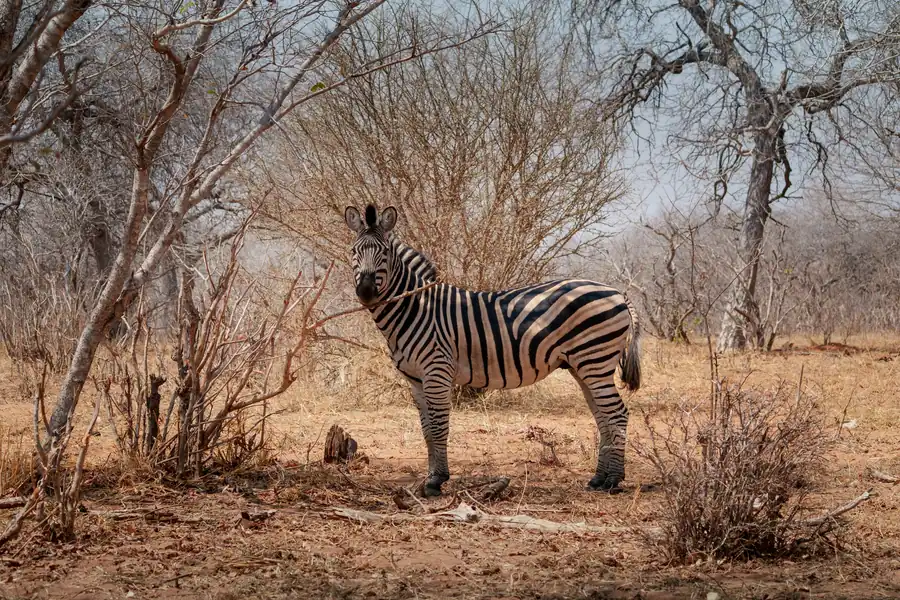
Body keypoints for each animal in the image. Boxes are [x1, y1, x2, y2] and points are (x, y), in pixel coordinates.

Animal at [344, 204, 641, 497]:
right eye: (354, 251)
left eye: (384, 252)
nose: (366, 292)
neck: (416, 309)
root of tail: (618, 292)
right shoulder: (415, 379)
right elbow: (426, 429)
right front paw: (429, 477)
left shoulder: (437, 370)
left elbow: (439, 427)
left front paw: (436, 480)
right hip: (583, 367)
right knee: (603, 416)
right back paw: (598, 479)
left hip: (595, 361)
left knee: (617, 414)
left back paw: (613, 480)